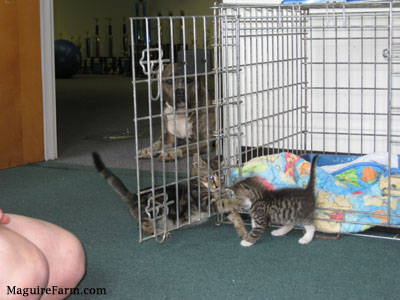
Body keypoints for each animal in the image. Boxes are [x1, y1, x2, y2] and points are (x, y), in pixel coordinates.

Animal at [93, 152, 222, 237]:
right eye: (211, 177)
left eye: (221, 177)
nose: (218, 186)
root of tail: (135, 196)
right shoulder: (202, 200)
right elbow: (219, 203)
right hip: (156, 206)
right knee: (142, 225)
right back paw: (158, 232)